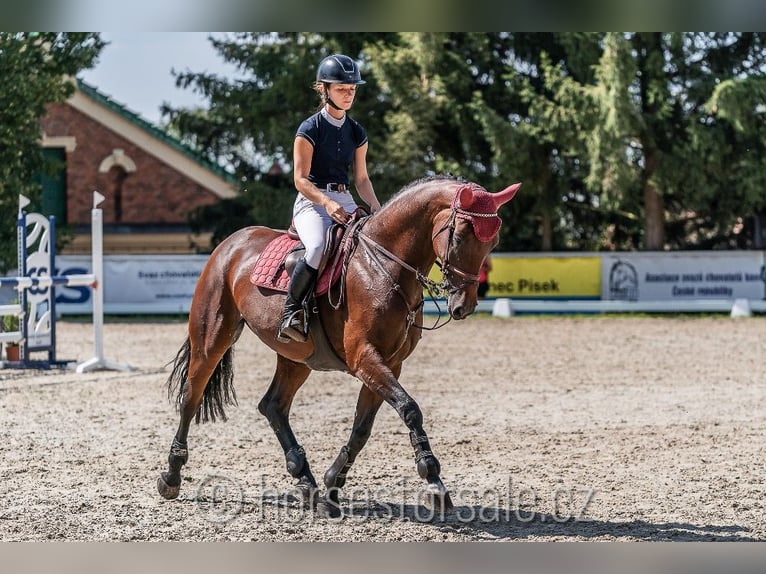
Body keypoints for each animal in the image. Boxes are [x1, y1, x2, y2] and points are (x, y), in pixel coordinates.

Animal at [157, 176, 520, 516]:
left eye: (493, 241)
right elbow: (409, 409)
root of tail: (231, 243)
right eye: (459, 236)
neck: (382, 267)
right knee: (191, 397)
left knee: (273, 405)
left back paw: (306, 482)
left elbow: (362, 428)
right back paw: (171, 476)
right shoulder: (365, 357)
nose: (463, 305)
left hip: (297, 356)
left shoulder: (389, 362)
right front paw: (434, 484)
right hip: (212, 337)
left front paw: (332, 486)